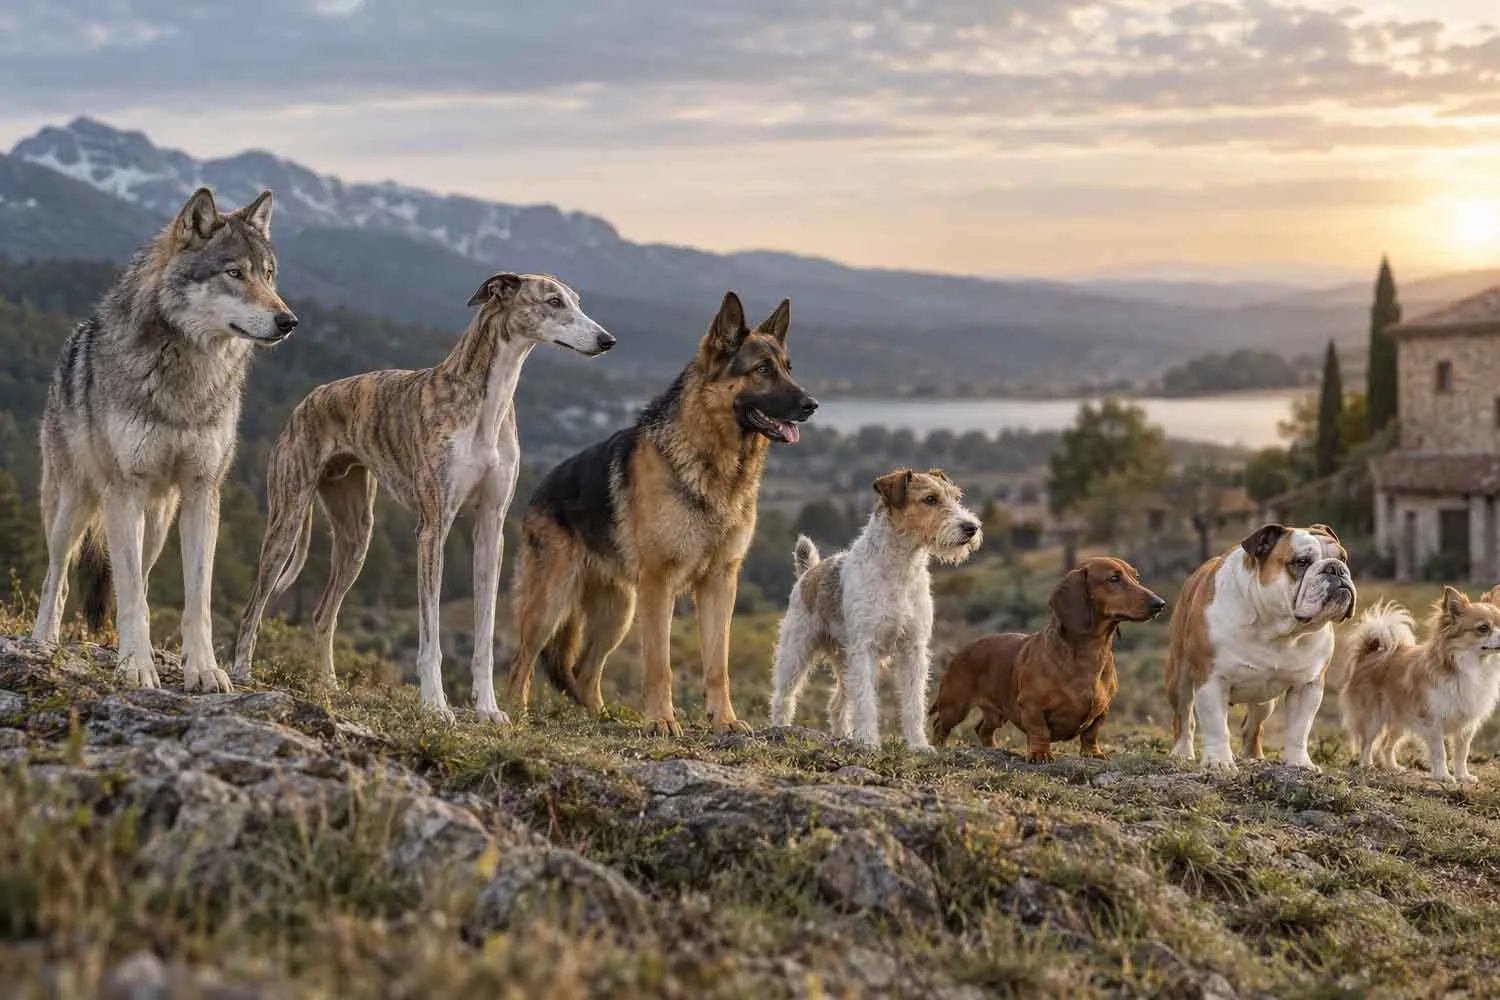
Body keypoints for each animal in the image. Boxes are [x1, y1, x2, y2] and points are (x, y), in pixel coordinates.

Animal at [30, 187, 296, 693]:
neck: (187, 373)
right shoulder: (124, 490)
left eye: (270, 275)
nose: (288, 320)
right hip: (73, 509)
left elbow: (196, 601)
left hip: (155, 522)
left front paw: (203, 669)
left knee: (141, 579)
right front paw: (135, 666)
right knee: (58, 577)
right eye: (235, 273)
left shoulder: (202, 492)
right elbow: (131, 595)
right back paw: (43, 643)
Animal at [231, 272, 614, 721]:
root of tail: (309, 400)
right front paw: (435, 704)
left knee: (323, 612)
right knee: (253, 606)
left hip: (356, 535)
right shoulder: (433, 528)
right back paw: (240, 672)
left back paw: (328, 684)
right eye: (554, 302)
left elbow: (485, 634)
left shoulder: (491, 529)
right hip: (286, 521)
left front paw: (488, 708)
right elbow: (430, 634)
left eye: (576, 300)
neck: (487, 403)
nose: (607, 340)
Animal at [505, 291, 818, 735]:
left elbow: (717, 665)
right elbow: (659, 664)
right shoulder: (659, 585)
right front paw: (661, 722)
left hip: (617, 613)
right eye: (762, 370)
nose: (812, 405)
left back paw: (603, 717)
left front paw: (724, 720)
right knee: (522, 662)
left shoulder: (720, 583)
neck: (715, 461)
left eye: (789, 369)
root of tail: (540, 488)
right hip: (552, 602)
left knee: (584, 671)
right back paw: (515, 714)